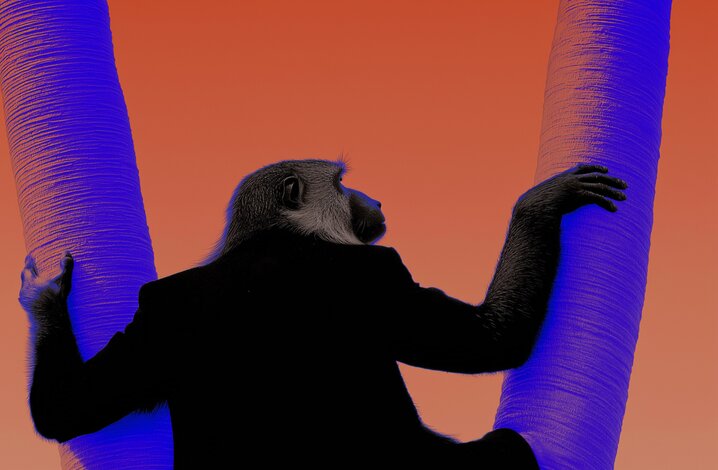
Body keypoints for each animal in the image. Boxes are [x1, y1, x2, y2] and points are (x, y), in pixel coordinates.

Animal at [19, 158, 628, 468]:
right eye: (341, 182)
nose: (374, 196)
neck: (273, 239)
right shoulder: (385, 278)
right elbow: (489, 339)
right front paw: (540, 202)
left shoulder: (154, 319)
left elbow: (68, 408)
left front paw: (44, 298)